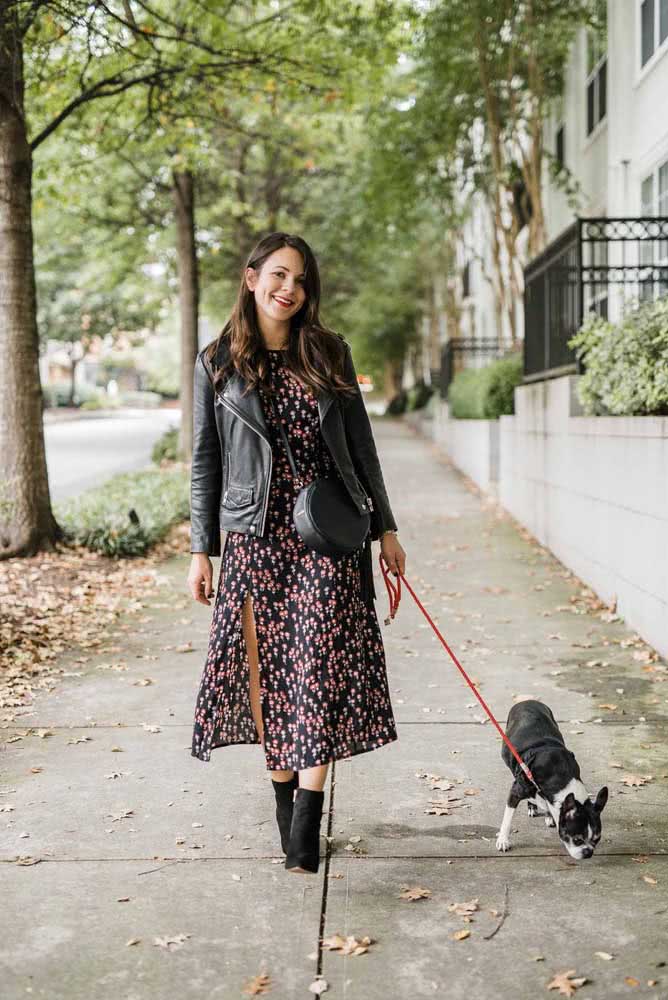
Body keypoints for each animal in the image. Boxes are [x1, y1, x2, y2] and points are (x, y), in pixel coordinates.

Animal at [494, 700, 608, 856]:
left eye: (597, 839)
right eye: (577, 840)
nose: (588, 852)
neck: (559, 776)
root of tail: (527, 701)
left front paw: (549, 815)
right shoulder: (516, 791)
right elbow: (507, 819)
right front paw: (503, 840)